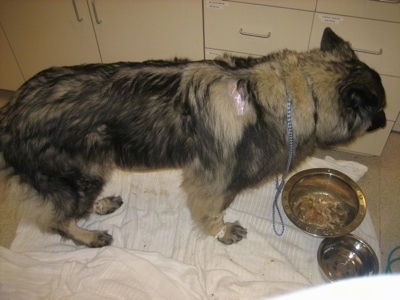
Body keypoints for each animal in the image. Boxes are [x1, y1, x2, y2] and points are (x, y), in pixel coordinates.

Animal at [0, 28, 388, 247]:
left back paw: (99, 207)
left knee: (67, 209)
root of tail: (11, 111)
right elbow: (210, 210)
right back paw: (89, 235)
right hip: (78, 173)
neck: (293, 92)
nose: (386, 122)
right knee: (57, 219)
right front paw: (222, 231)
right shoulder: (210, 180)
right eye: (382, 106)